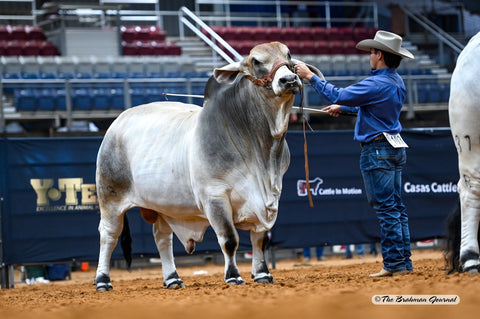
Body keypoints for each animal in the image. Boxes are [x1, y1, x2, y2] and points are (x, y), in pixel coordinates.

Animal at [94, 41, 322, 292]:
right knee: (108, 235)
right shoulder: (215, 197)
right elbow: (229, 239)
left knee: (162, 237)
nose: (288, 79)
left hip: (163, 204)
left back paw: (172, 278)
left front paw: (262, 273)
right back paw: (102, 280)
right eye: (256, 61)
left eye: (288, 55)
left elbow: (260, 239)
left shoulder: (270, 199)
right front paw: (233, 276)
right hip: (110, 197)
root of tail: (118, 121)